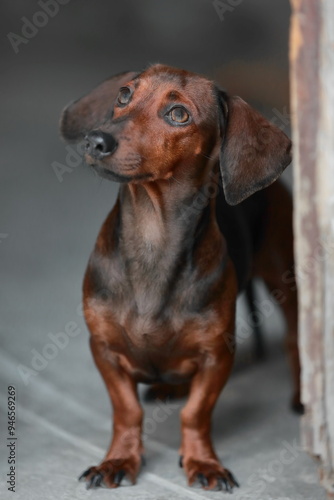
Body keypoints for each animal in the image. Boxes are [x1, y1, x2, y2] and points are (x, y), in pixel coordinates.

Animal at [60, 63, 302, 492]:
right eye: (124, 94)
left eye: (178, 114)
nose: (96, 140)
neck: (153, 239)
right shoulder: (103, 348)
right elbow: (127, 410)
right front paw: (118, 459)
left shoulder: (217, 356)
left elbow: (196, 413)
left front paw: (203, 461)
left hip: (282, 275)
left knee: (293, 338)